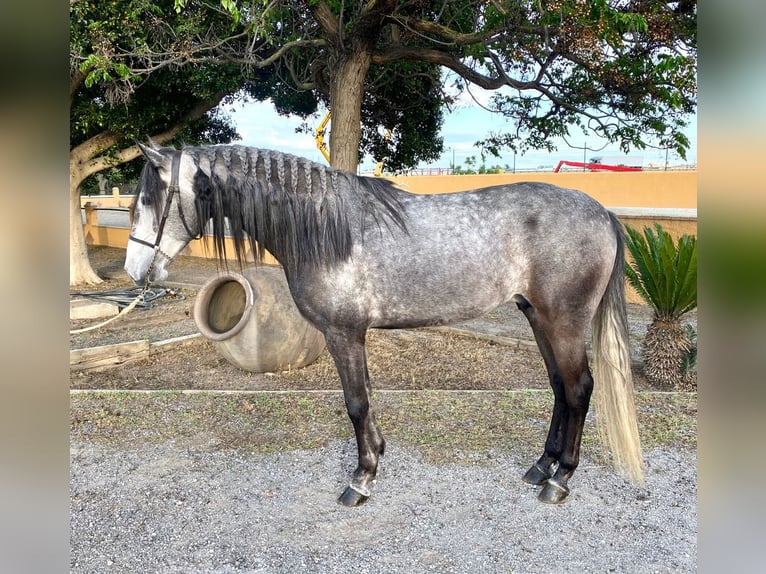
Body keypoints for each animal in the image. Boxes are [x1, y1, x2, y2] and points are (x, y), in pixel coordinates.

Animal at [124, 141, 644, 506]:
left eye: (150, 201)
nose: (135, 271)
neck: (326, 228)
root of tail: (602, 213)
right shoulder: (353, 336)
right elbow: (367, 399)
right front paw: (376, 457)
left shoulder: (343, 334)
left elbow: (355, 403)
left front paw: (361, 479)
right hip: (538, 316)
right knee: (559, 388)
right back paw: (541, 467)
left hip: (564, 321)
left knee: (578, 390)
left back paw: (560, 480)